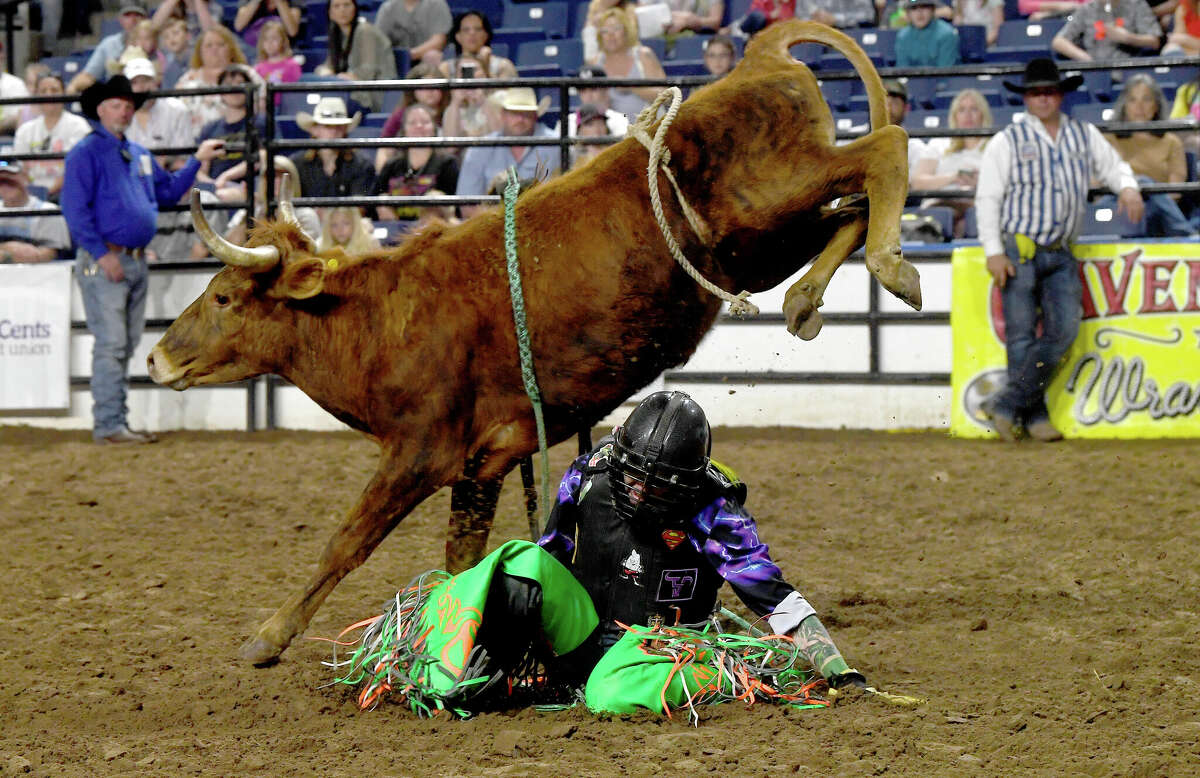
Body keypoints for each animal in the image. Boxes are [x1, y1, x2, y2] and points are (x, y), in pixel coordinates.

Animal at [145, 19, 921, 662]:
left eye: (223, 296)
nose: (155, 357)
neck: (381, 318)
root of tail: (758, 62)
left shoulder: (421, 451)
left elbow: (347, 540)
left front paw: (268, 636)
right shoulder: (484, 462)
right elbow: (461, 556)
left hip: (765, 204)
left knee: (881, 152)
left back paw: (894, 267)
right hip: (758, 243)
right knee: (849, 207)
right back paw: (807, 299)